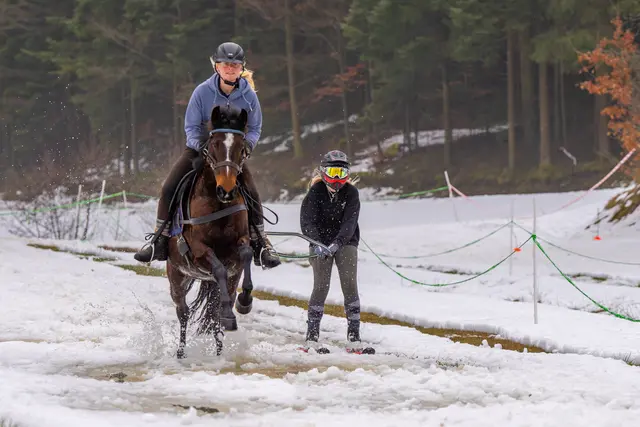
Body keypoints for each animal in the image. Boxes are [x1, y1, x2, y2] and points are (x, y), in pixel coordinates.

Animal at [166, 105, 255, 358]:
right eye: (214, 144)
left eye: (241, 147)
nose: (226, 190)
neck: (218, 205)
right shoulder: (199, 250)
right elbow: (218, 268)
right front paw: (230, 314)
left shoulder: (241, 243)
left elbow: (247, 254)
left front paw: (244, 302)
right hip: (177, 278)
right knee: (183, 312)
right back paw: (181, 352)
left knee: (215, 311)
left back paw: (219, 347)